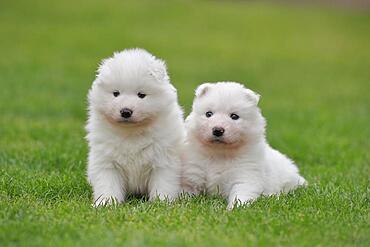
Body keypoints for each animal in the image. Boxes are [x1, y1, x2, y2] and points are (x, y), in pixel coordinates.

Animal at [87, 48, 185, 206]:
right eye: (116, 93)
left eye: (141, 95)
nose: (126, 111)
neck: (131, 133)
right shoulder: (107, 162)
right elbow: (108, 184)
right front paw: (106, 203)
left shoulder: (163, 160)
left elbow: (163, 183)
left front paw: (161, 202)